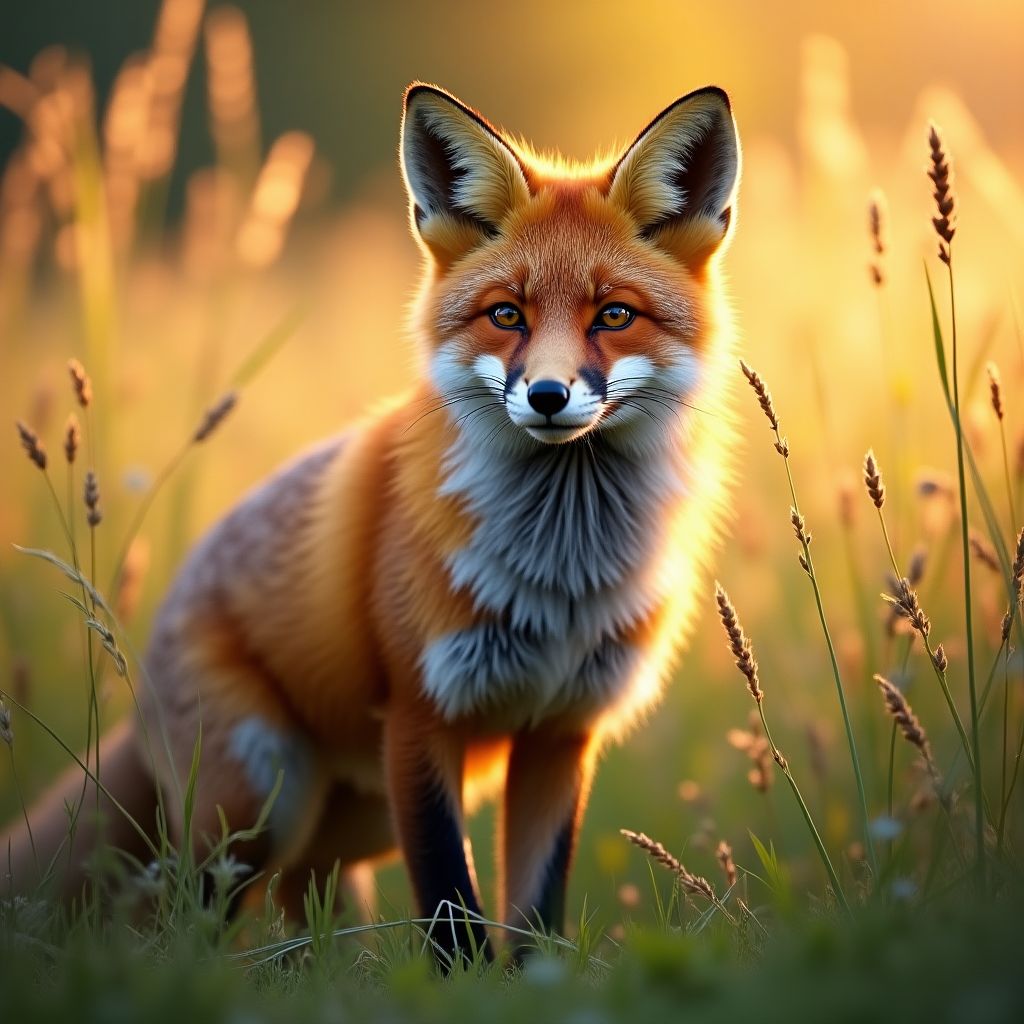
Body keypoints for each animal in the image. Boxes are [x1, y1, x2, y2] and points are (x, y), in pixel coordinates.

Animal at [3, 83, 741, 963]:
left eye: (615, 316)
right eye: (506, 315)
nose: (548, 395)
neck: (559, 572)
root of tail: (141, 669)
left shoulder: (562, 734)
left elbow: (534, 910)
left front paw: (531, 982)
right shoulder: (421, 716)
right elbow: (451, 902)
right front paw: (463, 983)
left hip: (346, 830)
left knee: (306, 911)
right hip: (260, 802)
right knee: (188, 912)